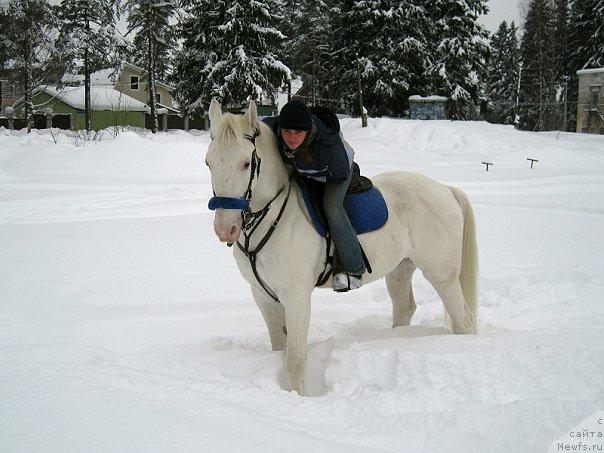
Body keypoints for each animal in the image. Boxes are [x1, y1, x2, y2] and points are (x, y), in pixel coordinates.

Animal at [205, 98, 478, 392]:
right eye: (208, 163)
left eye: (246, 163)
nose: (225, 228)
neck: (274, 216)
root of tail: (445, 189)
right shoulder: (263, 296)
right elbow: (280, 349)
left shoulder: (296, 297)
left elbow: (295, 359)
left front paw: (298, 396)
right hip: (400, 270)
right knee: (405, 308)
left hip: (442, 275)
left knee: (464, 319)